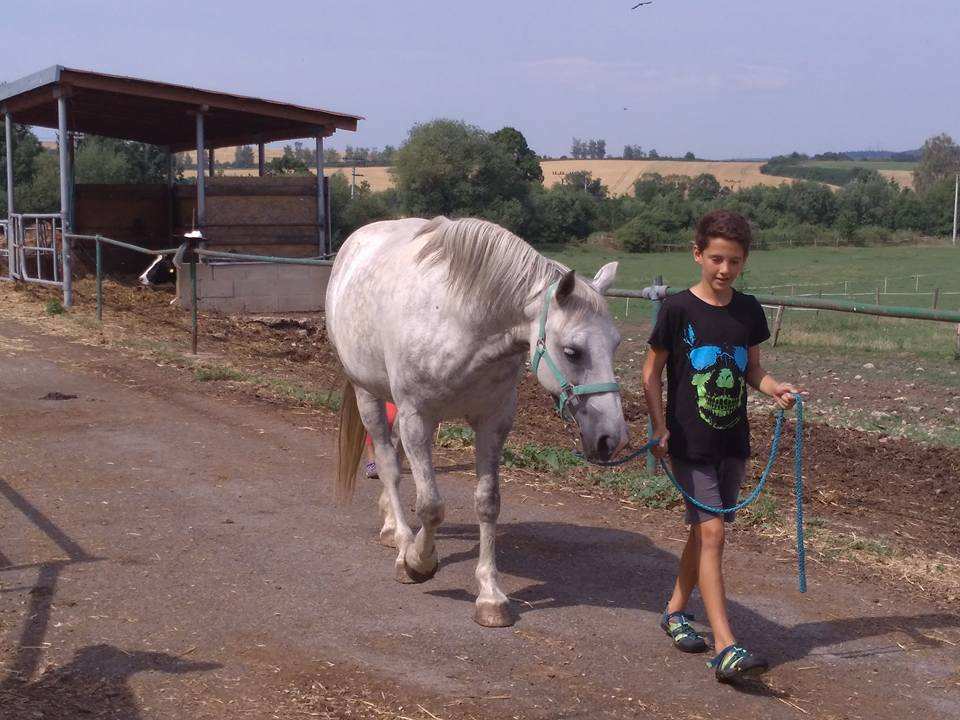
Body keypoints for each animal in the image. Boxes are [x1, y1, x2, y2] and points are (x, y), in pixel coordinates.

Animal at [330, 217, 632, 628]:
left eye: (615, 345)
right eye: (573, 351)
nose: (611, 438)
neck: (461, 323)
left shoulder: (493, 423)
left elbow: (488, 503)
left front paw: (491, 595)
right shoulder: (416, 417)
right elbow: (430, 505)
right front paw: (418, 561)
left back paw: (391, 523)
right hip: (368, 394)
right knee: (389, 466)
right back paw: (401, 537)